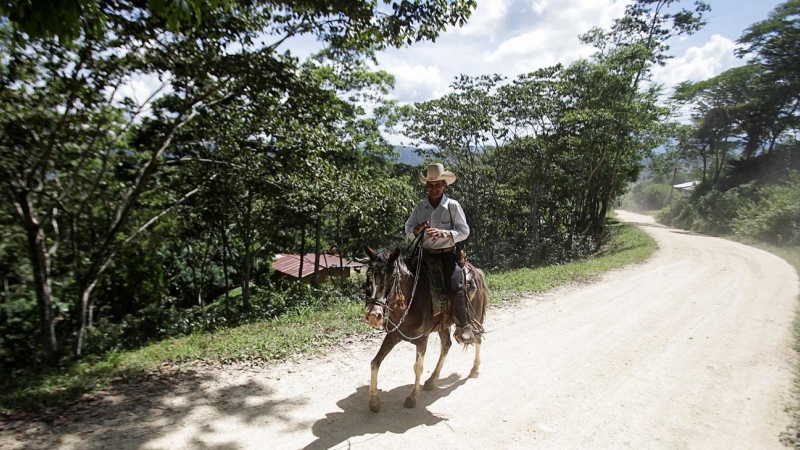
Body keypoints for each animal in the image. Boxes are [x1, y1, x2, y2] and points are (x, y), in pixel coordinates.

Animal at [360, 244, 488, 414]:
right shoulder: (393, 336)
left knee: (477, 338)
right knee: (446, 346)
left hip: (474, 318)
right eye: (369, 274)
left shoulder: (422, 339)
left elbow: (418, 368)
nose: (374, 315)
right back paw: (432, 380)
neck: (410, 299)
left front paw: (412, 398)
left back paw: (474, 369)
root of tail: (477, 271)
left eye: (392, 277)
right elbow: (375, 363)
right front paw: (374, 401)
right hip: (443, 325)